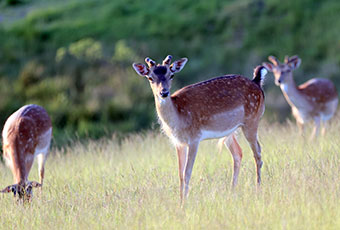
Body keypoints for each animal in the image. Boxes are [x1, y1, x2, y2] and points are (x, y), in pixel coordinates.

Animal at [133, 55, 268, 201]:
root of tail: (256, 82)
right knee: (238, 153)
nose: (164, 92)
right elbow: (180, 174)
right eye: (150, 77)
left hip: (252, 120)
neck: (178, 119)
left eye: (171, 75)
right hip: (231, 131)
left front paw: (185, 202)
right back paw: (232, 191)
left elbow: (187, 173)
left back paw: (258, 189)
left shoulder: (194, 138)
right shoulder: (178, 142)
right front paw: (180, 201)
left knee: (258, 153)